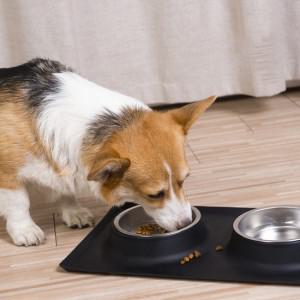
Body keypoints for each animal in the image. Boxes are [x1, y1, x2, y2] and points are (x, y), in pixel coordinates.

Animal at [0, 58, 216, 246]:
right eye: (154, 195)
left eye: (183, 181)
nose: (186, 224)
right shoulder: (7, 176)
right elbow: (19, 203)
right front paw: (25, 230)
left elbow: (66, 191)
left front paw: (74, 212)